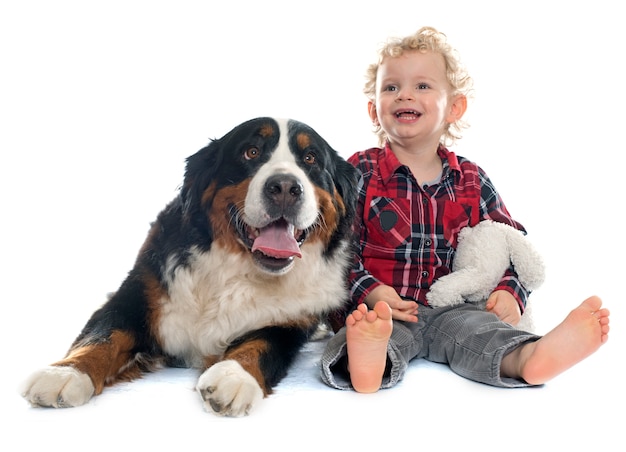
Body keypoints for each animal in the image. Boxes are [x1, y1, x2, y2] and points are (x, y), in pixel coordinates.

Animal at [19, 116, 356, 416]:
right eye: (251, 152)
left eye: (310, 159)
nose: (285, 186)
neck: (238, 271)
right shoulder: (137, 293)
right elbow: (104, 335)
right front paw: (65, 374)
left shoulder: (289, 323)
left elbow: (260, 345)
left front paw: (233, 376)